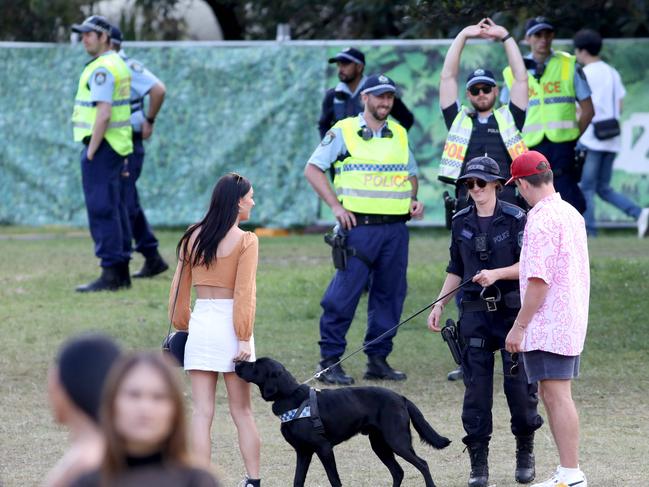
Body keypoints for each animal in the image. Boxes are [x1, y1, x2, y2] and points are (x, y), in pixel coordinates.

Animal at [234, 356, 450, 486]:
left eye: (254, 365)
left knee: (422, 464)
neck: (291, 395)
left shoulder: (324, 448)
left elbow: (334, 479)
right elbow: (298, 480)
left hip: (397, 441)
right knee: (398, 472)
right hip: (379, 444)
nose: (236, 362)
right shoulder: (303, 452)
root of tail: (401, 398)